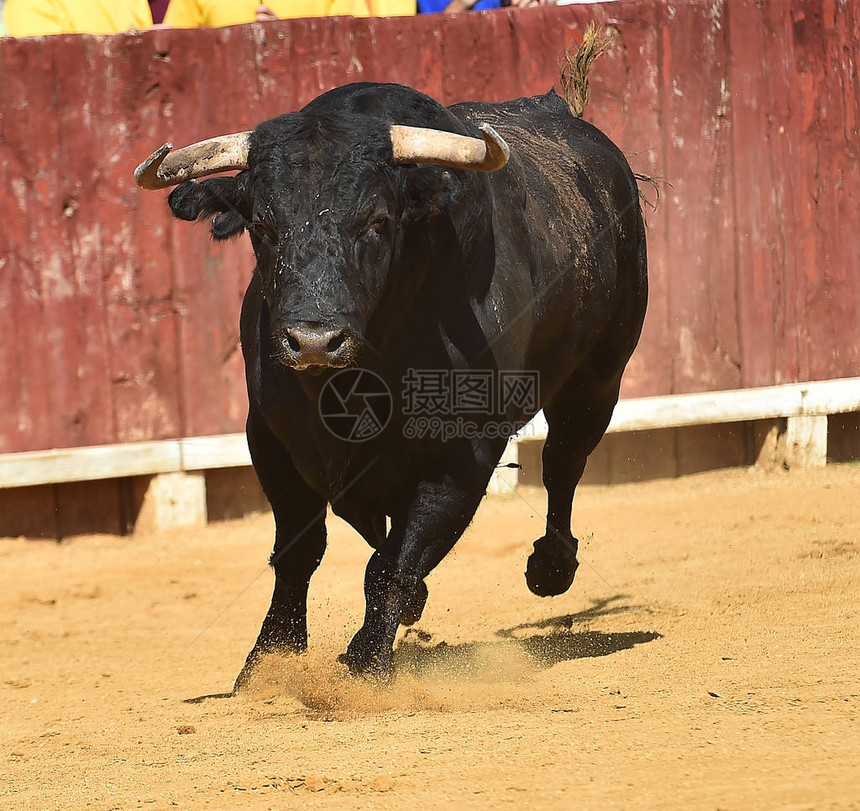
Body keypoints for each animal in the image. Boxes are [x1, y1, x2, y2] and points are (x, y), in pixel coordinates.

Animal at [134, 77, 644, 684]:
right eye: (262, 224)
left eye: (377, 222)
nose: (313, 340)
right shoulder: (271, 438)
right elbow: (300, 549)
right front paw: (268, 663)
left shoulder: (464, 453)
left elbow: (396, 562)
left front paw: (364, 664)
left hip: (601, 374)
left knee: (565, 459)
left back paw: (551, 566)